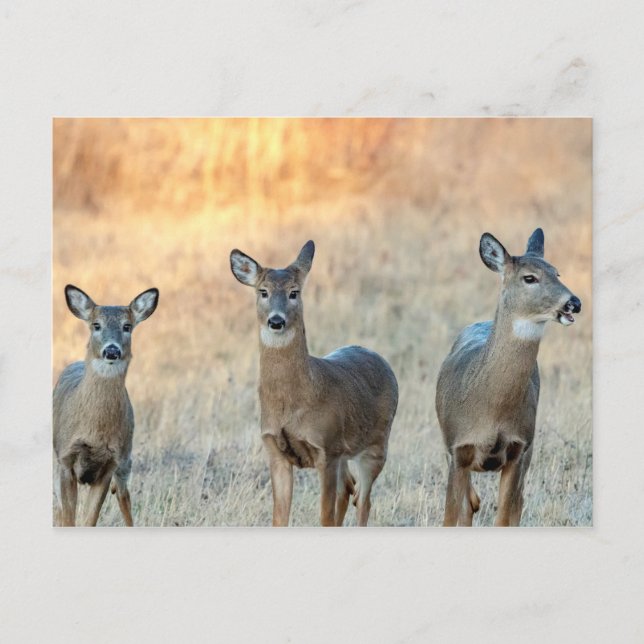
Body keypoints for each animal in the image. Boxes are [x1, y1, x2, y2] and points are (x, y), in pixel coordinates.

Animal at [53, 285, 159, 526]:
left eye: (127, 326)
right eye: (96, 325)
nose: (112, 350)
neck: (94, 433)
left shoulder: (110, 464)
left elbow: (89, 520)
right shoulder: (65, 459)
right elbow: (68, 518)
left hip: (126, 458)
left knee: (124, 497)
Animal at [230, 241, 398, 527]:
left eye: (294, 292)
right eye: (263, 292)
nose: (276, 321)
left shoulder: (326, 449)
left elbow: (325, 516)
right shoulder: (275, 452)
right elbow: (279, 518)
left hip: (376, 445)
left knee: (363, 500)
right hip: (347, 454)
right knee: (349, 490)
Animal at [435, 228, 581, 527]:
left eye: (557, 273)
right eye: (530, 278)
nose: (574, 303)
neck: (491, 410)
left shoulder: (518, 449)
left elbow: (504, 516)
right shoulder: (457, 449)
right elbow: (451, 515)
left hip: (529, 450)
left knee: (515, 506)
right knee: (468, 506)